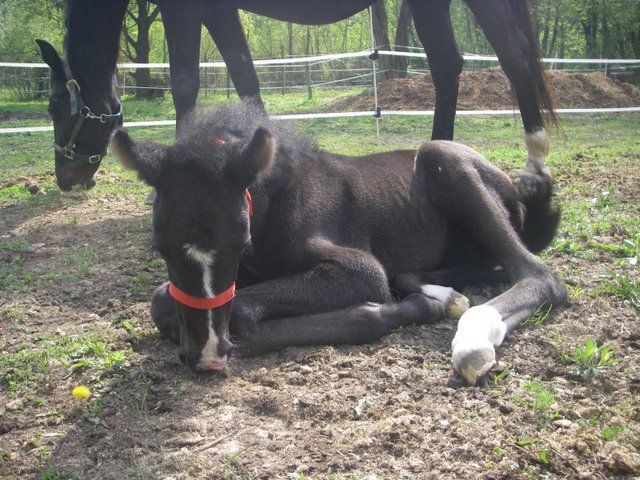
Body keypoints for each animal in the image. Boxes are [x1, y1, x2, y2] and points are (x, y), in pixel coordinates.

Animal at [38, 0, 555, 198]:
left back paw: (534, 165)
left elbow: (185, 81)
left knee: (513, 56)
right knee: (447, 63)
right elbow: (245, 75)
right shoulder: (218, 8)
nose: (65, 178)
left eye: (54, 107)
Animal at [110, 102, 567, 385]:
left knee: (537, 274)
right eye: (160, 247)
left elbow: (241, 310)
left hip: (445, 157)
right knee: (461, 266)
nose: (207, 359)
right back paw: (442, 294)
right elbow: (163, 301)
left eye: (240, 244)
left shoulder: (359, 268)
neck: (274, 200)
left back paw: (472, 339)